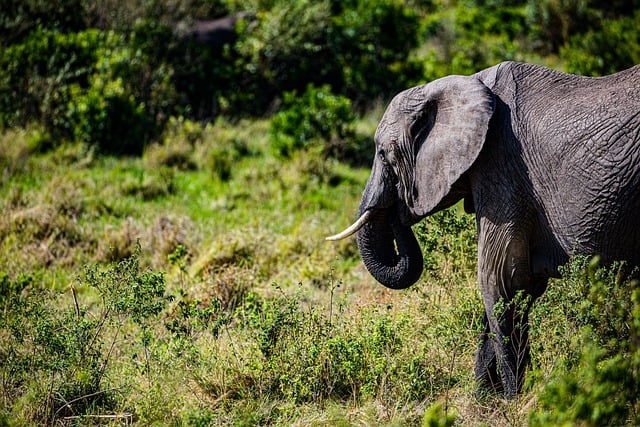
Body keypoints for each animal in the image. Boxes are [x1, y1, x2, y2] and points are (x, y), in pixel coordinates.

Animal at [328, 61, 640, 400]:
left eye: (383, 153)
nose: (398, 206)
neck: (465, 85)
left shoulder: (502, 169)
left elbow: (500, 281)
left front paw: (512, 401)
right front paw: (484, 400)